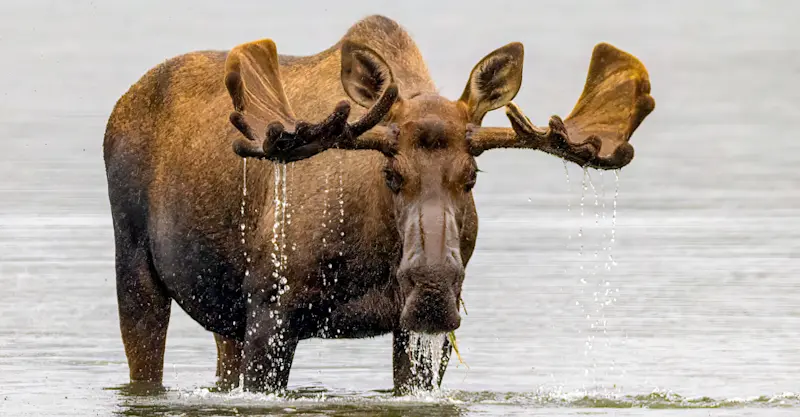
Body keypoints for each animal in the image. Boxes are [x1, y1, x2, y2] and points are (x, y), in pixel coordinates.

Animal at [102, 14, 654, 395]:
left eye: (471, 177)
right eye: (391, 174)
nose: (432, 289)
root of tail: (121, 104)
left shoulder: (417, 334)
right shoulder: (269, 310)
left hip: (226, 323)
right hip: (135, 267)